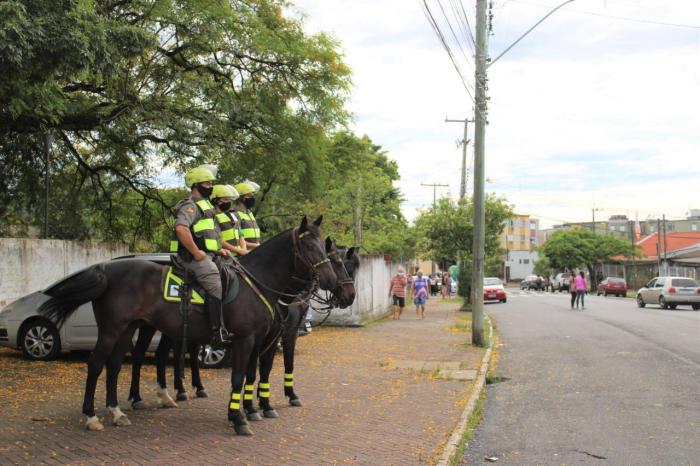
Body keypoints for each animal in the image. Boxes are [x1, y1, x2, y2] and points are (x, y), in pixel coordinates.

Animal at [39, 217, 336, 436]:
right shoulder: (245, 339)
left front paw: (252, 410)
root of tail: (106, 271)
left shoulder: (261, 340)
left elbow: (251, 375)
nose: (331, 281)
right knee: (96, 365)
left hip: (128, 329)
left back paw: (116, 412)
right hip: (111, 330)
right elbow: (239, 377)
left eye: (325, 248)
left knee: (113, 366)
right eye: (310, 248)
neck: (256, 283)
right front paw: (239, 418)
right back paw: (91, 416)